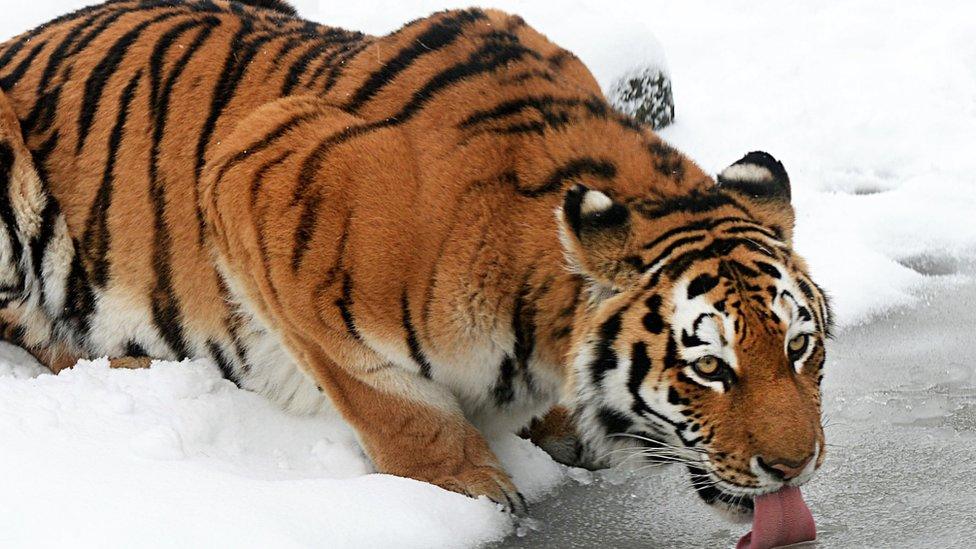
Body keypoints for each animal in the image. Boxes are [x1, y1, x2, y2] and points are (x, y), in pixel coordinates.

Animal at [0, 0, 832, 520]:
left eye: (800, 348)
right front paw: (470, 486)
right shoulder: (249, 171)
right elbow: (389, 400)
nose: (794, 467)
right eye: (709, 367)